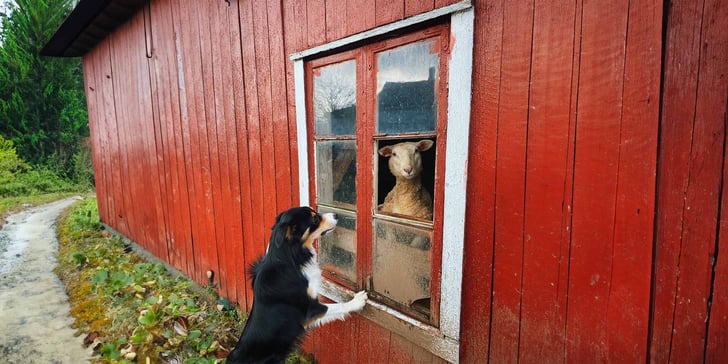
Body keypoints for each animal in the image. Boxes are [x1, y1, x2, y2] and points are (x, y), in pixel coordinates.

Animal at [226, 206, 366, 362]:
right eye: (315, 219)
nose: (336, 215)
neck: (291, 258)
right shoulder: (311, 309)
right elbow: (338, 306)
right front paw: (357, 300)